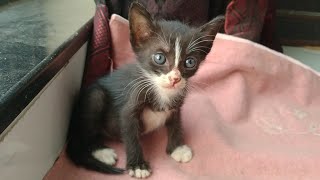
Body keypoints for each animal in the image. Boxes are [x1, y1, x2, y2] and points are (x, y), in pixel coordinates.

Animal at [66, 1, 224, 179]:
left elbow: (176, 123)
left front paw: (177, 148)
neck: (161, 91)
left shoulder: (176, 106)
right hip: (95, 97)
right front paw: (138, 166)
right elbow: (131, 136)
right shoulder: (129, 107)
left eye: (190, 62)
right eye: (159, 58)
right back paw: (101, 151)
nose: (175, 79)